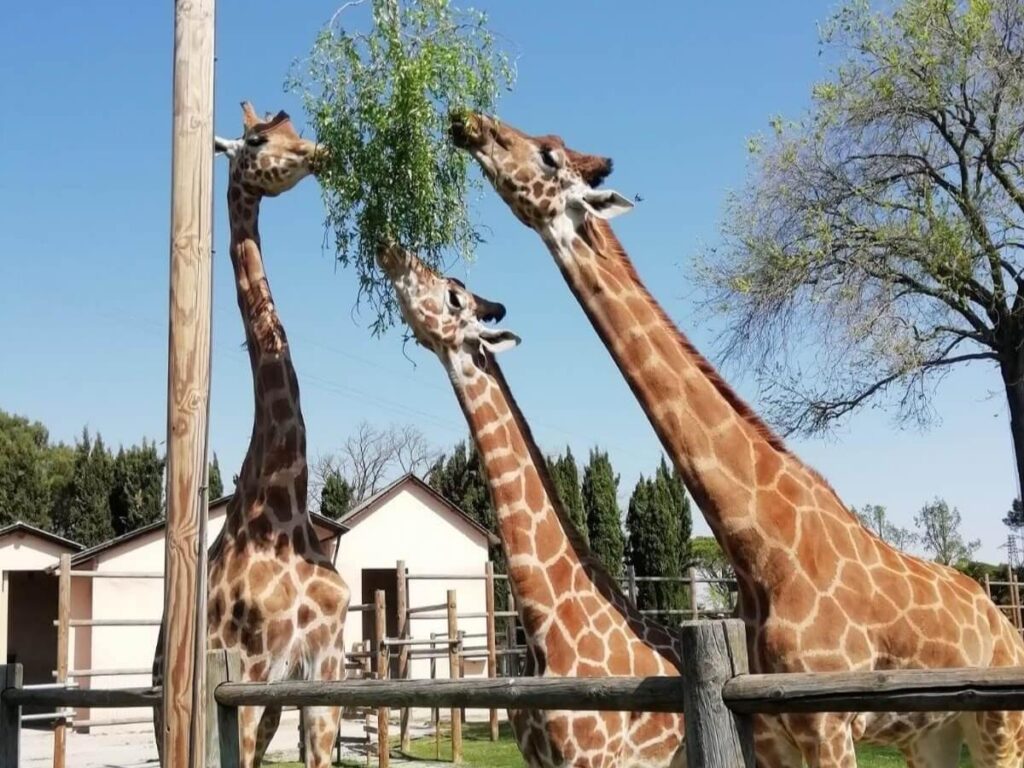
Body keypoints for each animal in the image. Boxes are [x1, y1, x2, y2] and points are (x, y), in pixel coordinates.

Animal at [152, 102, 350, 768]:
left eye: (294, 127)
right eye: (260, 139)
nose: (320, 151)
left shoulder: (325, 659)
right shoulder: (245, 667)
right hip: (183, 706)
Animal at [450, 112, 1024, 767]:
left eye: (548, 155)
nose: (471, 124)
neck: (761, 546)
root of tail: (1006, 623)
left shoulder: (828, 722)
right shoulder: (775, 727)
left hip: (998, 726)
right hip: (931, 735)